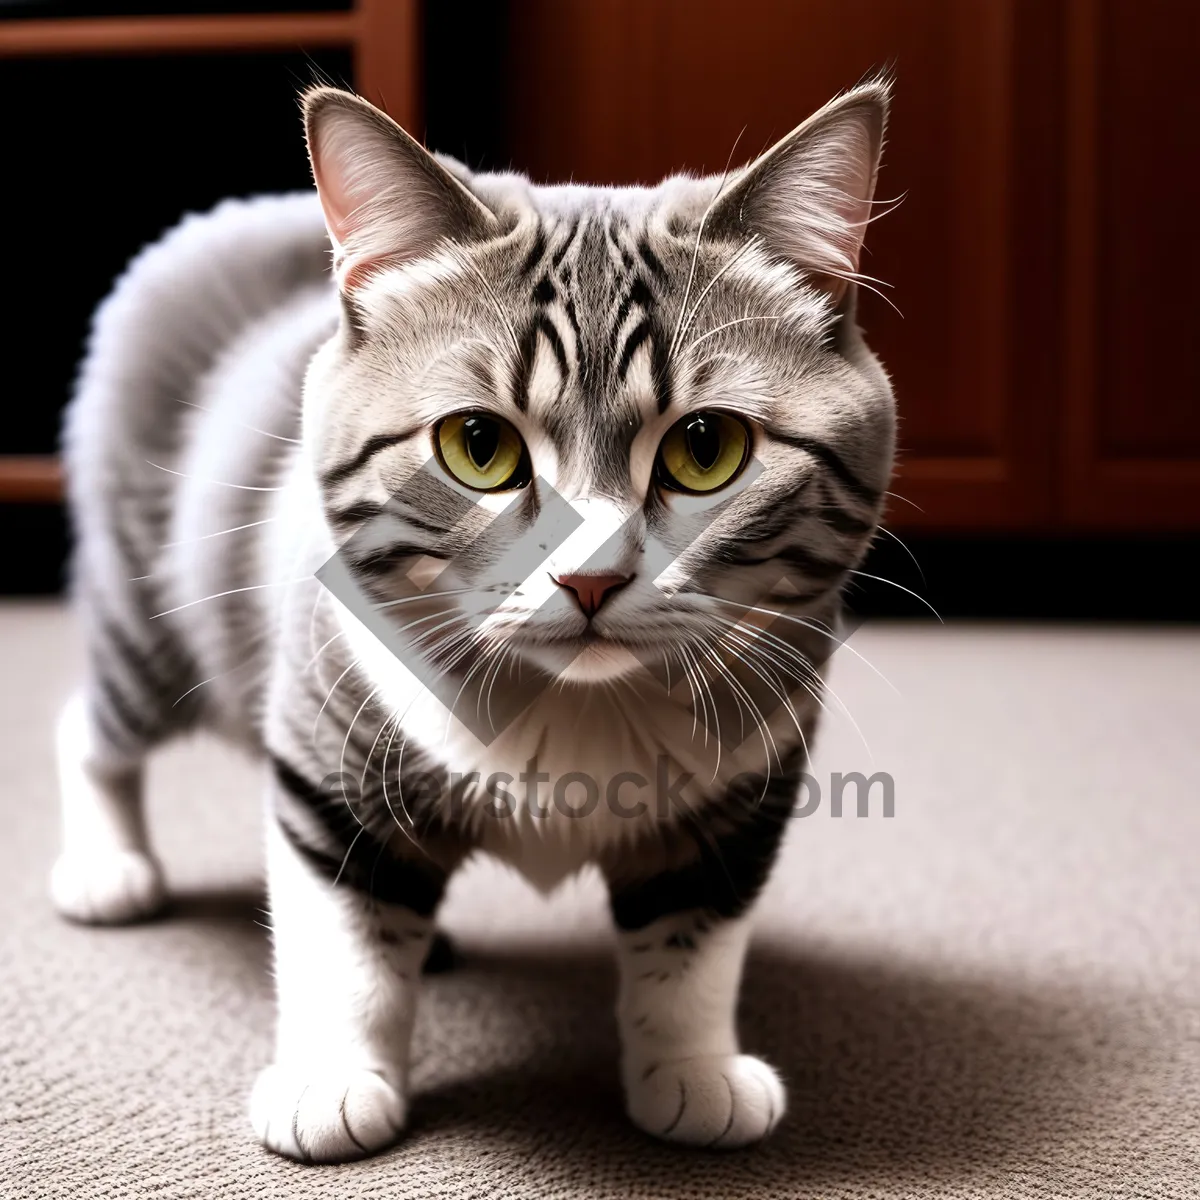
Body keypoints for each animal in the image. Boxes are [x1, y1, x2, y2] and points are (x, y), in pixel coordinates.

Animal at [56, 77, 897, 1161]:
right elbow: (342, 934)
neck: (578, 712)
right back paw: (108, 867)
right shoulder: (328, 748)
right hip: (151, 613)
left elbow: (693, 943)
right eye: (478, 446)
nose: (590, 577)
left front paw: (692, 1071)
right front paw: (332, 1080)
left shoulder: (747, 789)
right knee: (92, 725)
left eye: (707, 448)